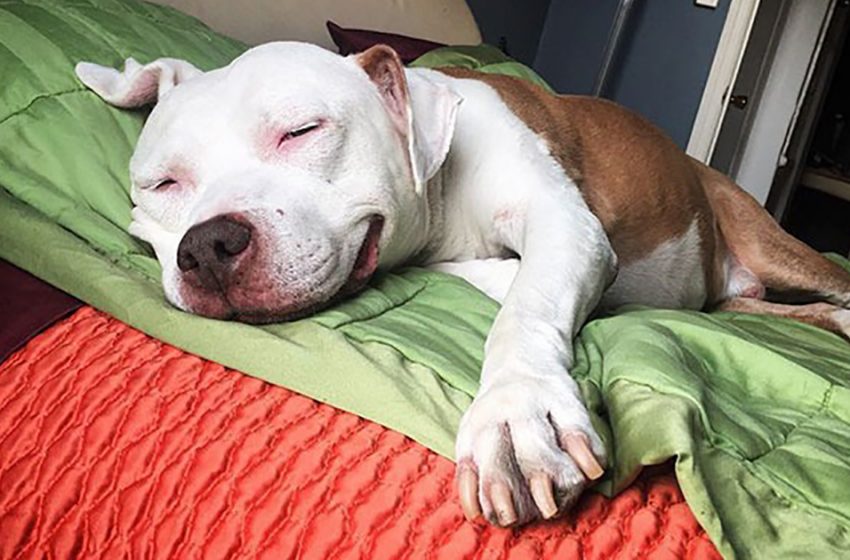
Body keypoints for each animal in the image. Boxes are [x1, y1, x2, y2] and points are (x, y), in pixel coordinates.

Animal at [74, 42, 848, 524]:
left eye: (301, 131)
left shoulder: (563, 222)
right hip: (744, 296)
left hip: (778, 247)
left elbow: (525, 310)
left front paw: (514, 416)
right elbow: (495, 278)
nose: (208, 246)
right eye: (163, 185)